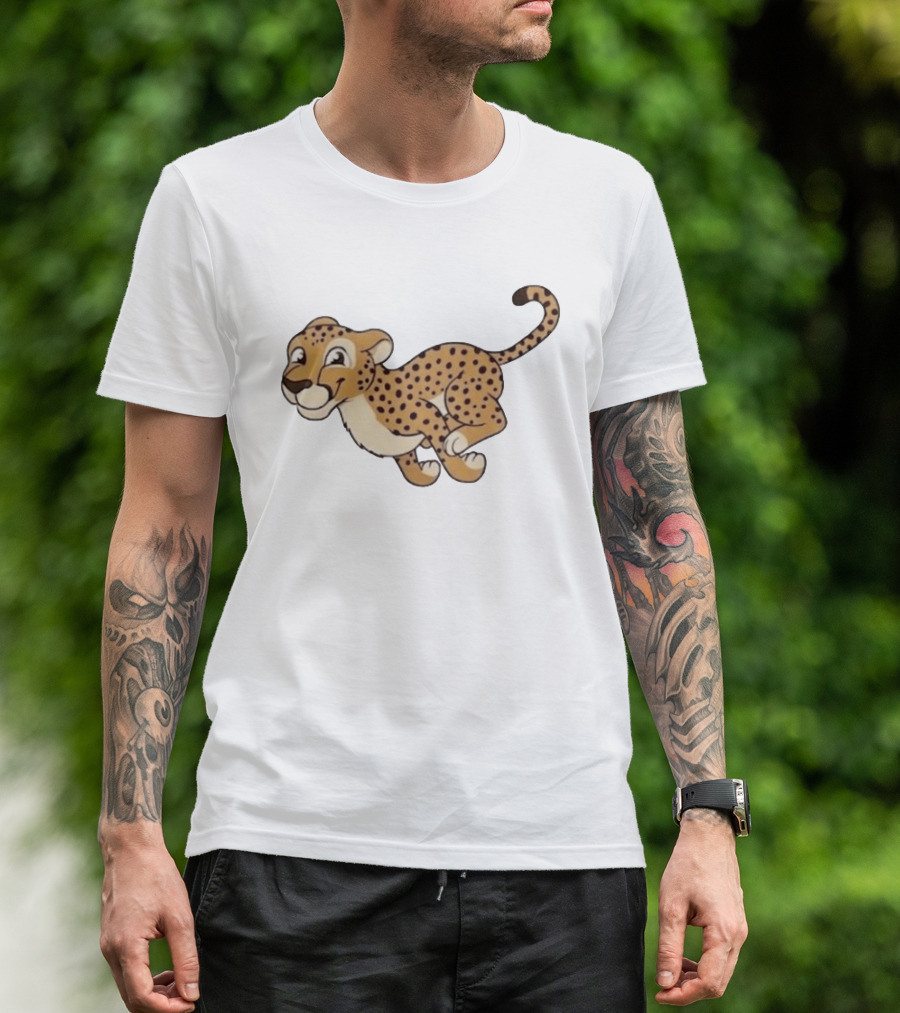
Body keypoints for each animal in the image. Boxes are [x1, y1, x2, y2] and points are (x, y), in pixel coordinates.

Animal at [280, 284, 559, 486]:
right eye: (298, 356)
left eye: (336, 358)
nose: (293, 384)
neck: (358, 403)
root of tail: (485, 352)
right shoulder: (399, 445)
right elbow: (408, 467)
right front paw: (425, 473)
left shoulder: (428, 416)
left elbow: (445, 452)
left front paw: (466, 469)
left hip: (457, 394)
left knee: (497, 418)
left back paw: (458, 437)